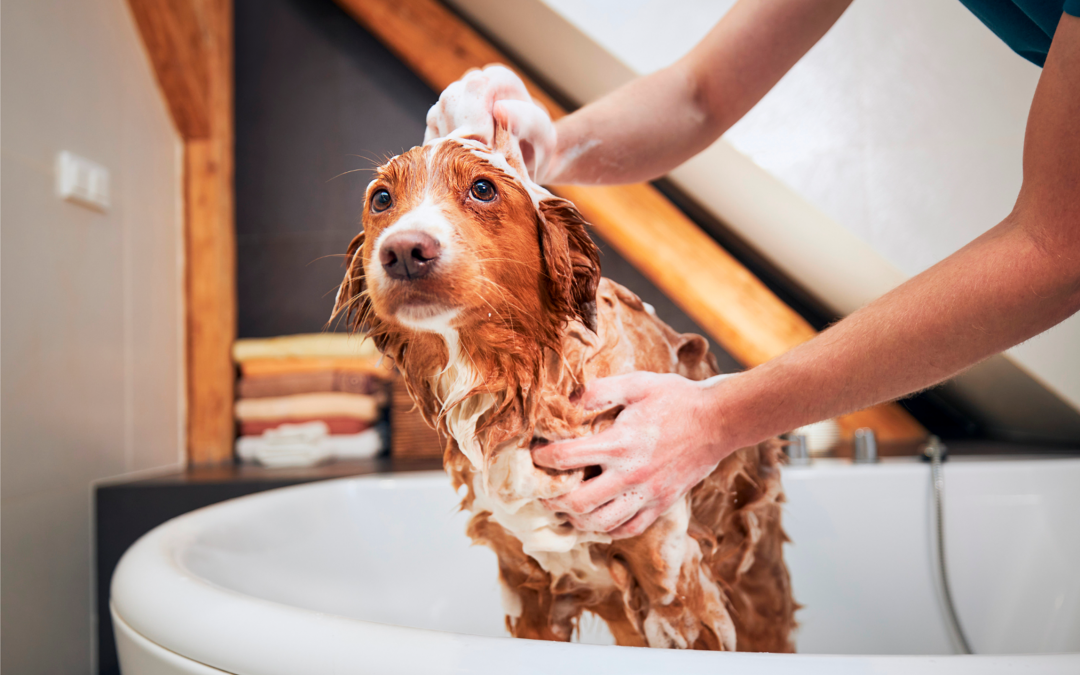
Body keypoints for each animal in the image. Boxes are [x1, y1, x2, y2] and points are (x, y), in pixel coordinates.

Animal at [332, 67, 799, 648]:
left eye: (483, 188)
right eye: (381, 199)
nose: (402, 251)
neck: (516, 383)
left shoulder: (673, 580)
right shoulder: (526, 587)